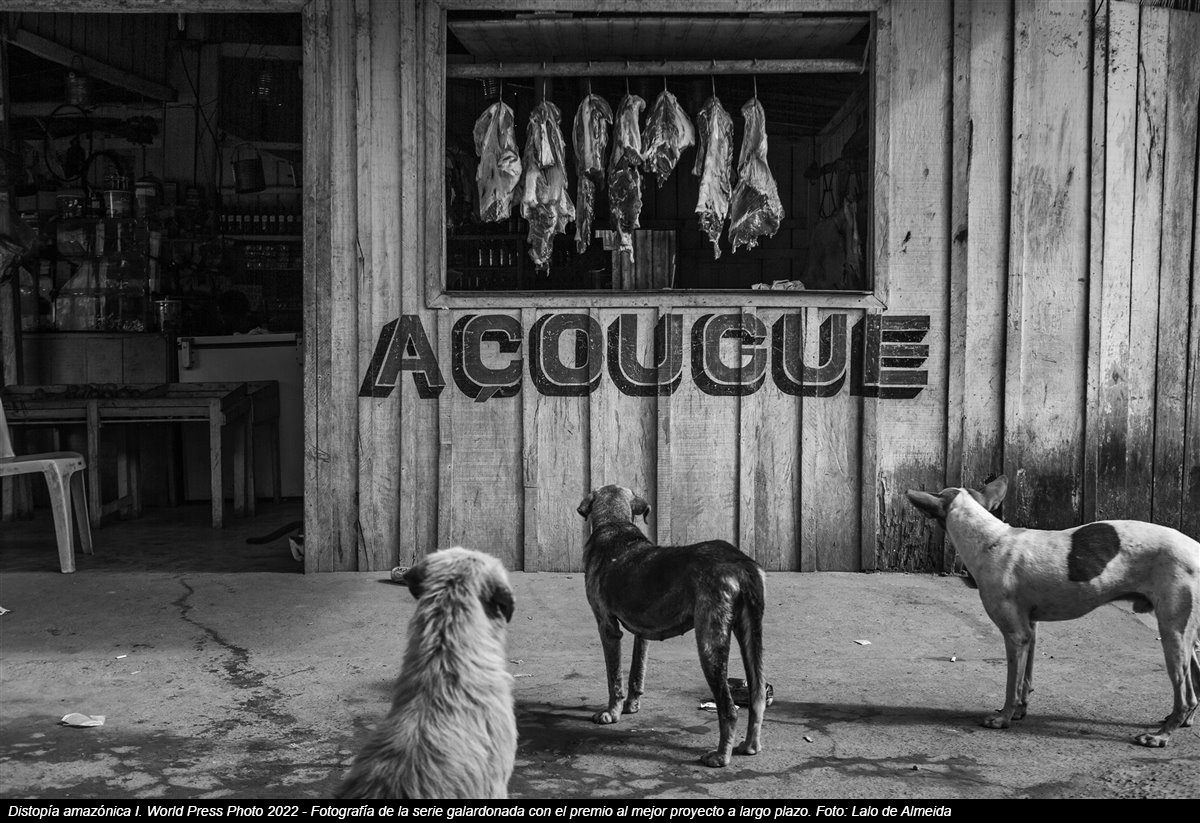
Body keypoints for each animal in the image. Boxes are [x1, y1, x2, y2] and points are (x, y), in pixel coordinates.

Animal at [577, 484, 767, 767]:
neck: (615, 524)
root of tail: (741, 564)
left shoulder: (607, 627)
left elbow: (615, 679)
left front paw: (612, 713)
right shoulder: (642, 631)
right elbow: (636, 673)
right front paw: (632, 706)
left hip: (709, 642)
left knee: (728, 708)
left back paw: (721, 756)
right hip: (751, 635)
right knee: (757, 695)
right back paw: (750, 746)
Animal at [906, 475, 1200, 747]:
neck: (991, 540)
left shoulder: (1016, 635)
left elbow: (1012, 685)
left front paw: (1004, 718)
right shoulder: (1031, 631)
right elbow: (1025, 680)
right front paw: (1020, 712)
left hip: (1172, 632)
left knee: (1185, 694)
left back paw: (1161, 735)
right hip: (1185, 636)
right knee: (1194, 688)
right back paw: (1181, 722)